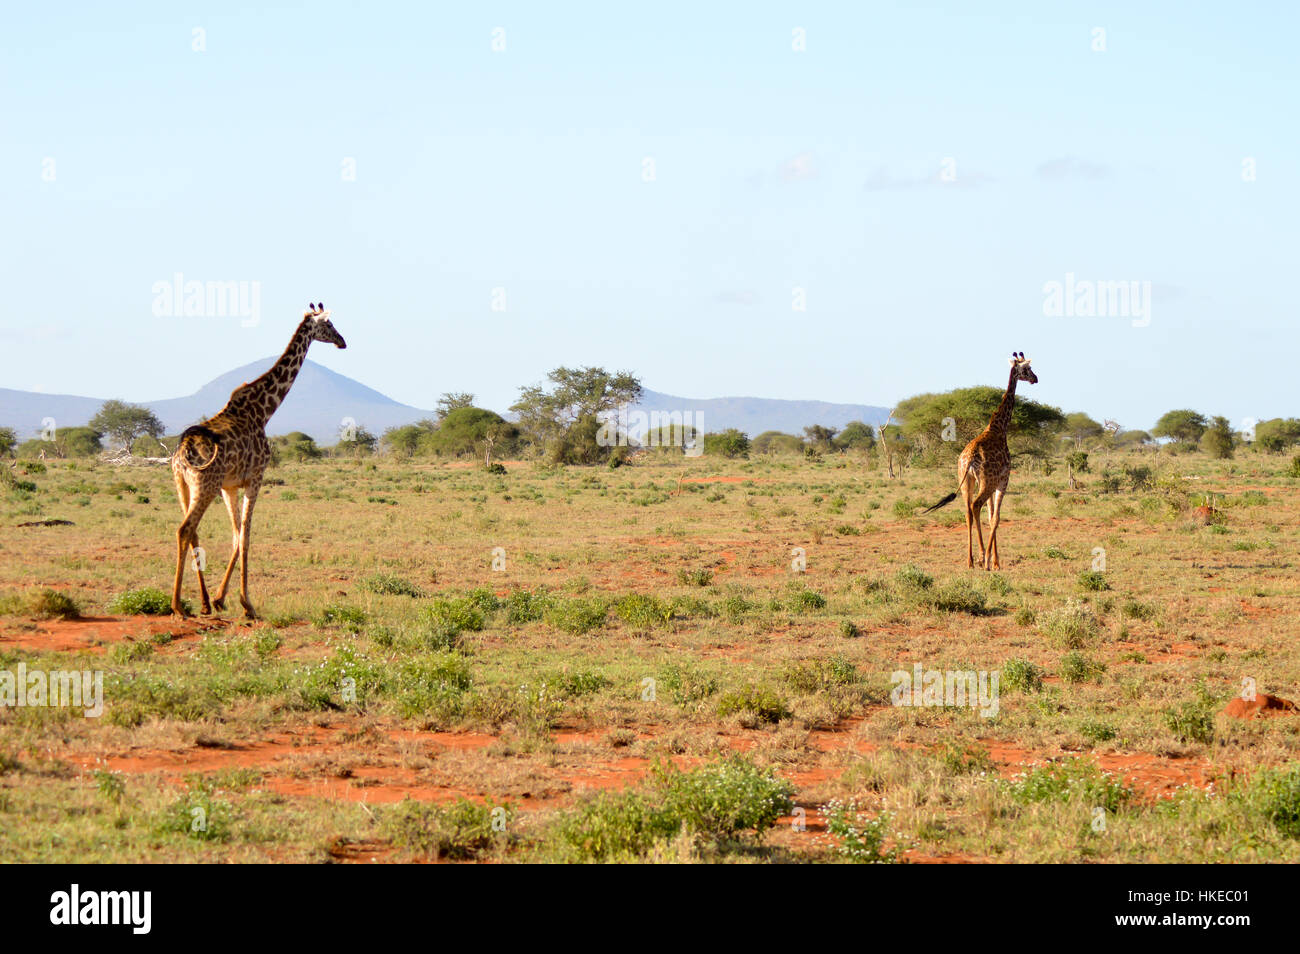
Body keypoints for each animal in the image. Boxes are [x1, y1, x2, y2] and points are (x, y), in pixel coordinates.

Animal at [169, 303, 347, 618]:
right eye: (329, 325)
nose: (343, 341)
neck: (264, 410)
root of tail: (183, 450)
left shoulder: (229, 486)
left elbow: (236, 536)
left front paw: (220, 599)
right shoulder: (256, 478)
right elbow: (247, 538)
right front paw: (246, 604)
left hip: (184, 484)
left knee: (193, 532)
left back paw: (202, 603)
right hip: (205, 484)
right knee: (185, 529)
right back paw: (178, 606)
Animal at [922, 352, 1038, 570]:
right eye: (1027, 369)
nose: (1036, 378)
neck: (999, 427)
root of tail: (969, 459)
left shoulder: (991, 483)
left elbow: (990, 515)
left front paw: (994, 561)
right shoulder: (1003, 480)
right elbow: (995, 518)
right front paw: (992, 562)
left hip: (966, 481)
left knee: (968, 511)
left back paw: (970, 560)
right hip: (985, 481)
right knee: (976, 506)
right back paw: (981, 557)